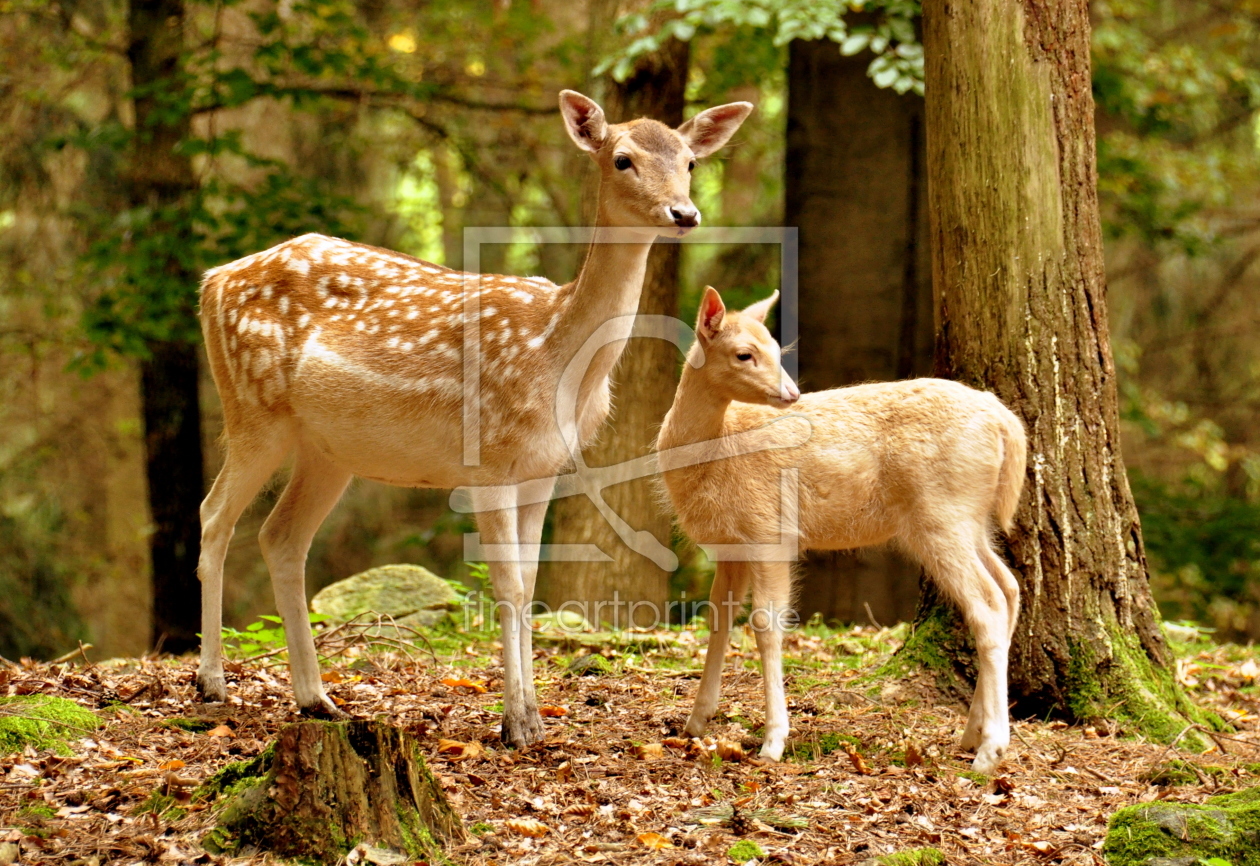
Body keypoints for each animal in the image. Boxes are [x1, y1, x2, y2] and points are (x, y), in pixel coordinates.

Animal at [194, 93, 745, 746]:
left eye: (689, 161)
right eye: (622, 159)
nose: (683, 213)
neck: (556, 355)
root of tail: (211, 280)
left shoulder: (542, 469)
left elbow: (529, 584)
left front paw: (534, 717)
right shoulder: (489, 462)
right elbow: (507, 585)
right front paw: (516, 725)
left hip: (327, 450)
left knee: (280, 536)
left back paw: (317, 700)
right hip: (253, 411)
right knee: (214, 517)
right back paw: (213, 684)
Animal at [655, 289, 1028, 771]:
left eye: (776, 348)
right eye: (745, 353)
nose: (791, 393)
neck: (719, 444)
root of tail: (1007, 424)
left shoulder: (768, 528)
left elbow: (767, 625)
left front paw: (773, 741)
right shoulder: (728, 545)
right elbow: (719, 622)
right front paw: (695, 722)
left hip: (942, 514)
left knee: (987, 605)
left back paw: (990, 749)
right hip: (971, 518)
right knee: (1010, 587)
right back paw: (970, 734)